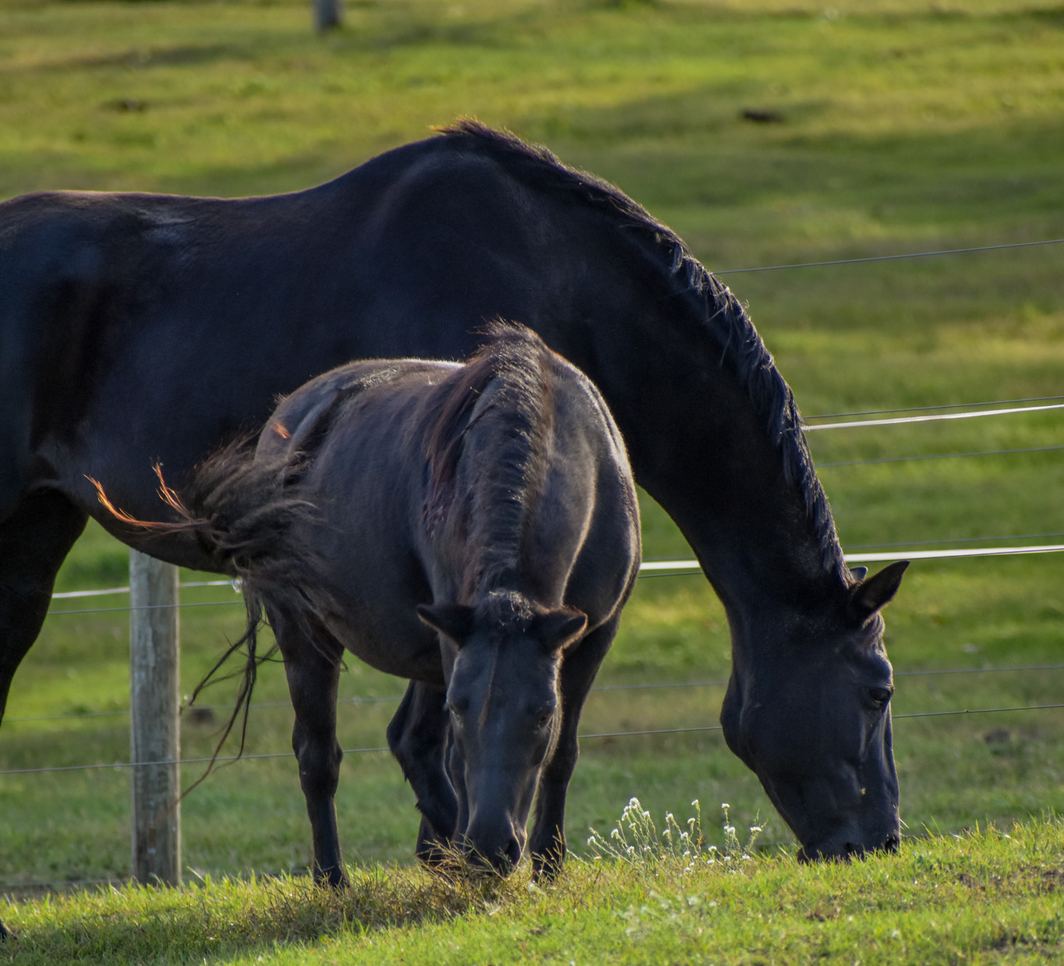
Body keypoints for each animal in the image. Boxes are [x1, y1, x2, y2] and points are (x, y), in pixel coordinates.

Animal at [99, 324, 641, 881]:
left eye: (541, 712)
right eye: (460, 708)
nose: (490, 847)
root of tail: (286, 418)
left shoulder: (594, 633)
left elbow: (562, 752)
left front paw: (547, 863)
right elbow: (448, 755)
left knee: (410, 741)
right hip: (303, 630)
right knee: (321, 756)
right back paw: (341, 874)